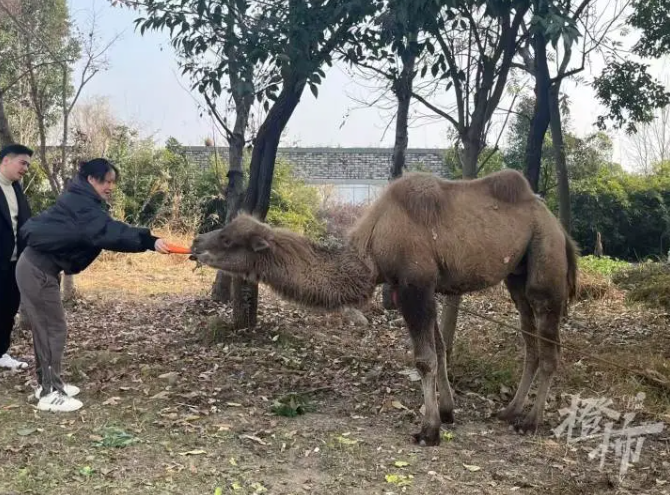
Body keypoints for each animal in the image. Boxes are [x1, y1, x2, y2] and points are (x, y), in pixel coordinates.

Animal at [192, 170, 580, 446]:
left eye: (227, 238)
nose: (196, 243)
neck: (372, 248)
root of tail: (559, 226)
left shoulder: (414, 286)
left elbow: (425, 359)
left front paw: (429, 431)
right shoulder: (423, 287)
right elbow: (440, 350)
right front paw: (447, 411)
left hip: (545, 263)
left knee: (549, 346)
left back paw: (529, 422)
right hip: (517, 276)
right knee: (530, 341)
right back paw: (509, 411)